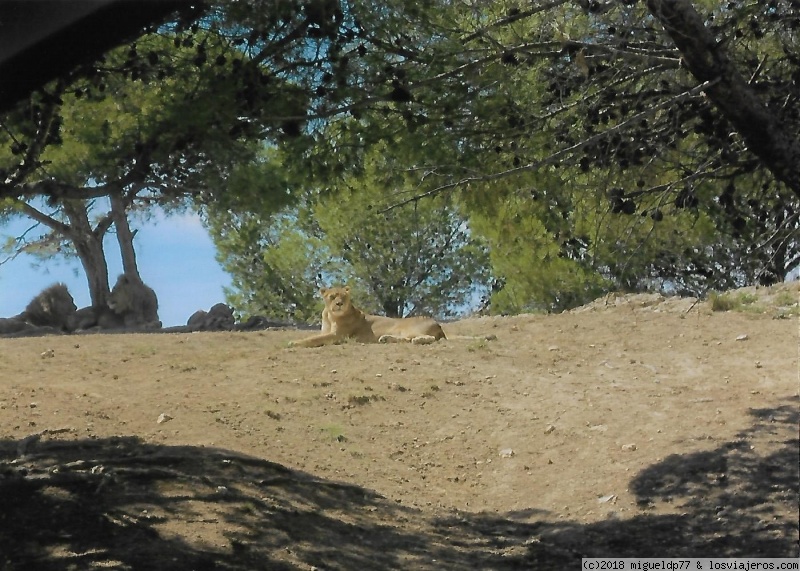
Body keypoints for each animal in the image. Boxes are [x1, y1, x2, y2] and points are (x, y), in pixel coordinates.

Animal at [290, 286, 446, 348]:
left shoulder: (337, 336)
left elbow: (314, 339)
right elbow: (314, 336)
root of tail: (436, 322)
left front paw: (294, 343)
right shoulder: (326, 331)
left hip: (409, 329)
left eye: (344, 296)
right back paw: (385, 339)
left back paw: (418, 340)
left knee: (428, 338)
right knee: (405, 339)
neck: (330, 315)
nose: (339, 303)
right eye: (332, 296)